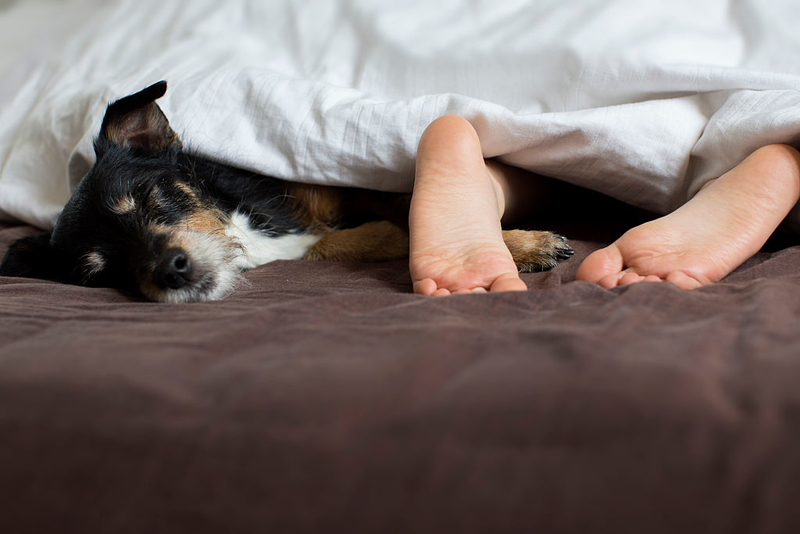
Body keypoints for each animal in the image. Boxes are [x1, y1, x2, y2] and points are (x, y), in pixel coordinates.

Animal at [0, 81, 576, 304]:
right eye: (99, 272)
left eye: (148, 196)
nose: (170, 270)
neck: (243, 228)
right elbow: (364, 236)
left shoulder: (341, 182)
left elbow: (405, 202)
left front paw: (519, 244)